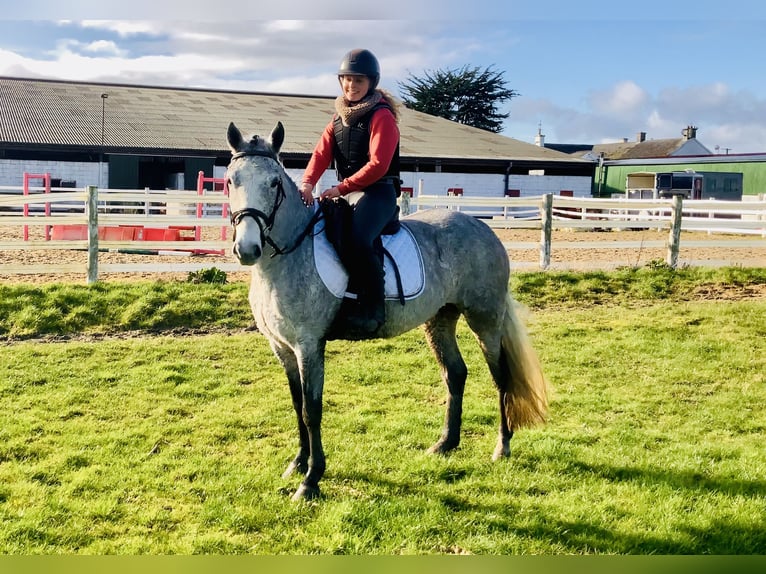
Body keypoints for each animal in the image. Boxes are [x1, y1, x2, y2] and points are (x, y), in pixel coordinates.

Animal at [225, 122, 548, 504]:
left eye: (274, 183)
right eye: (231, 180)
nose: (247, 249)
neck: (287, 256)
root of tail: (484, 228)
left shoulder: (309, 346)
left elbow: (311, 410)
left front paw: (311, 480)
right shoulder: (283, 348)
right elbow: (296, 405)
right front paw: (298, 464)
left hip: (485, 320)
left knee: (501, 377)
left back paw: (502, 446)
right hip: (440, 319)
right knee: (455, 374)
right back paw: (445, 444)